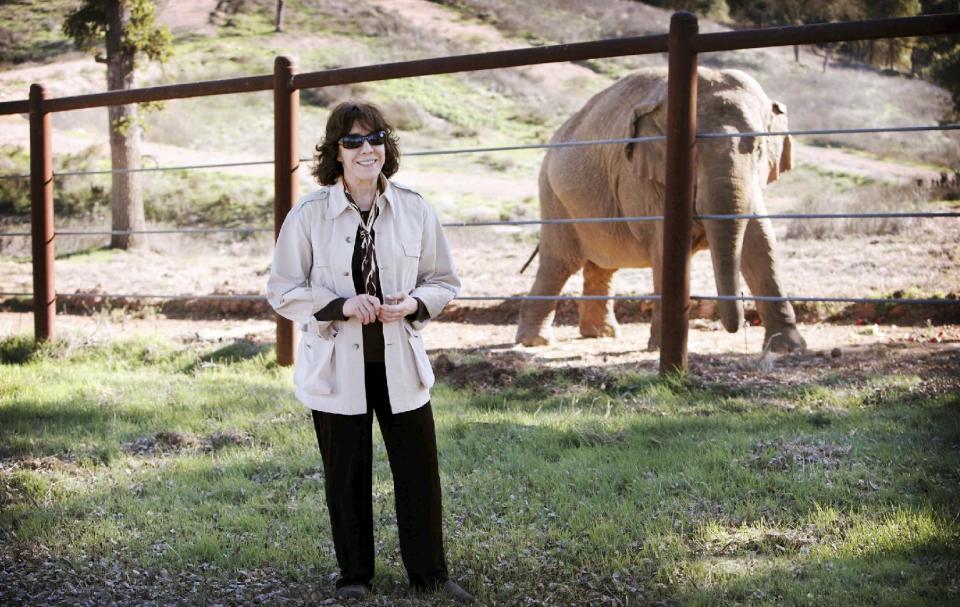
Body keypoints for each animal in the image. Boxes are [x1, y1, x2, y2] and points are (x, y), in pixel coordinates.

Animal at [512, 67, 808, 354]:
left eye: (759, 148)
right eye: (693, 152)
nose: (738, 326)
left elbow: (759, 241)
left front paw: (788, 348)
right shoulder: (642, 177)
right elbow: (666, 245)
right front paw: (661, 347)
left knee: (602, 266)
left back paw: (601, 334)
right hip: (553, 197)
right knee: (559, 264)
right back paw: (535, 341)